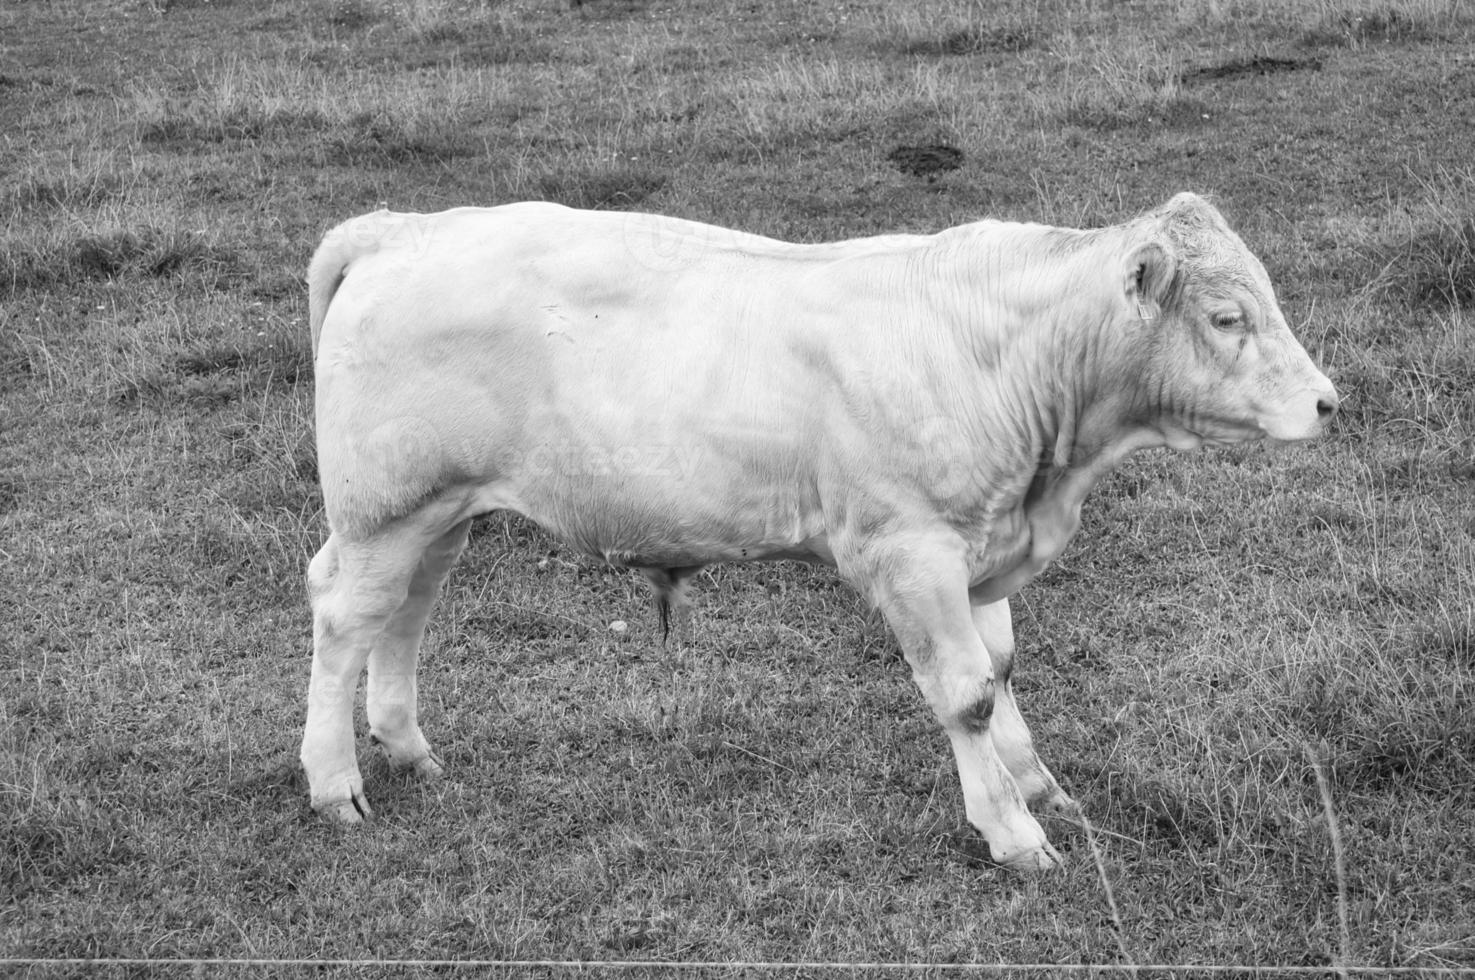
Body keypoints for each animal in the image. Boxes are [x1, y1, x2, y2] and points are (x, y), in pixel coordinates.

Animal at [299, 194, 1339, 867]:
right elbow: (964, 694)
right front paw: (1011, 832)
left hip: (436, 510)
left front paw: (1036, 785)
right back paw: (334, 782)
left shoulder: (978, 547)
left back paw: (407, 746)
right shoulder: (910, 550)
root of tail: (406, 228)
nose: (1328, 402)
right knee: (345, 618)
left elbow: (999, 672)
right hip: (383, 507)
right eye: (1226, 315)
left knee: (405, 612)